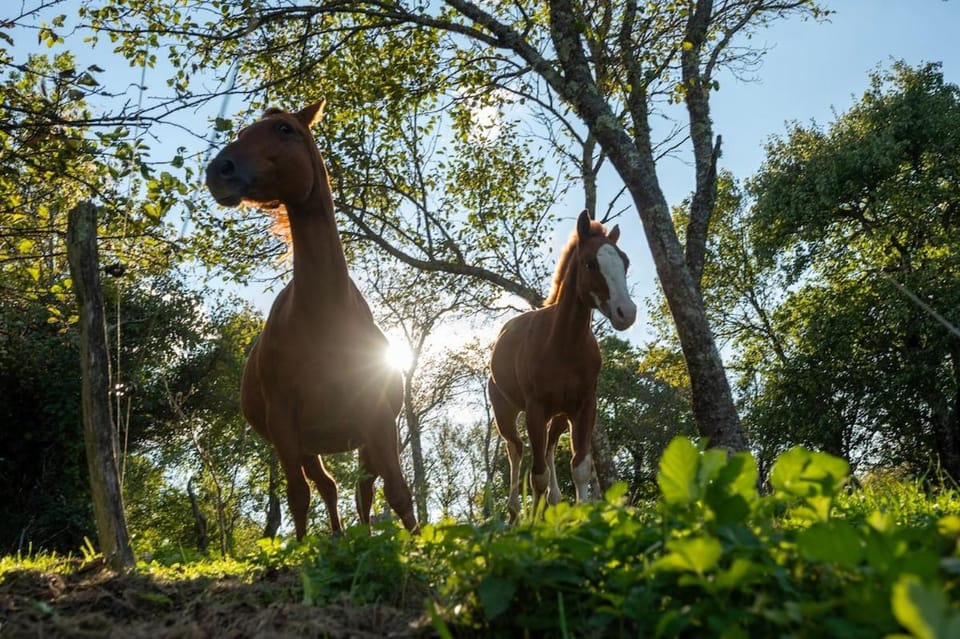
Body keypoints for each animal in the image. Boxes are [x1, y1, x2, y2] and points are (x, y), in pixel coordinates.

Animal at [205, 100, 417, 539]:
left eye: (284, 129)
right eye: (244, 131)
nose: (220, 169)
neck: (324, 319)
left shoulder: (378, 418)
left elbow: (398, 491)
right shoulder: (285, 424)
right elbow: (298, 497)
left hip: (361, 441)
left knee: (362, 490)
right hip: (306, 446)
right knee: (329, 487)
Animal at [488, 210, 637, 520]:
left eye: (625, 261)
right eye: (590, 263)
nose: (626, 312)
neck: (562, 346)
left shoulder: (584, 406)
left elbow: (580, 468)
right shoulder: (535, 411)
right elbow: (538, 476)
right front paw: (534, 522)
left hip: (557, 416)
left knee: (548, 449)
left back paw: (553, 501)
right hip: (505, 413)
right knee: (516, 449)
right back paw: (514, 512)